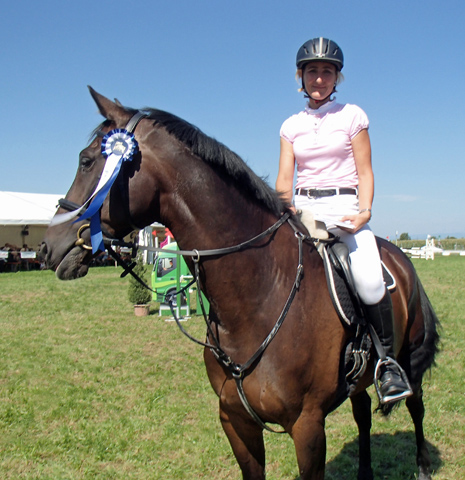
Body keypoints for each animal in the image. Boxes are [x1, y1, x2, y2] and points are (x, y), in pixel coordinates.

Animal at [42, 87, 438, 480]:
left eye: (87, 161)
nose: (49, 247)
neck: (259, 297)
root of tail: (399, 255)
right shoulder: (235, 420)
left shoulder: (308, 426)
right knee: (362, 412)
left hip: (409, 356)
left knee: (416, 405)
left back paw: (421, 465)